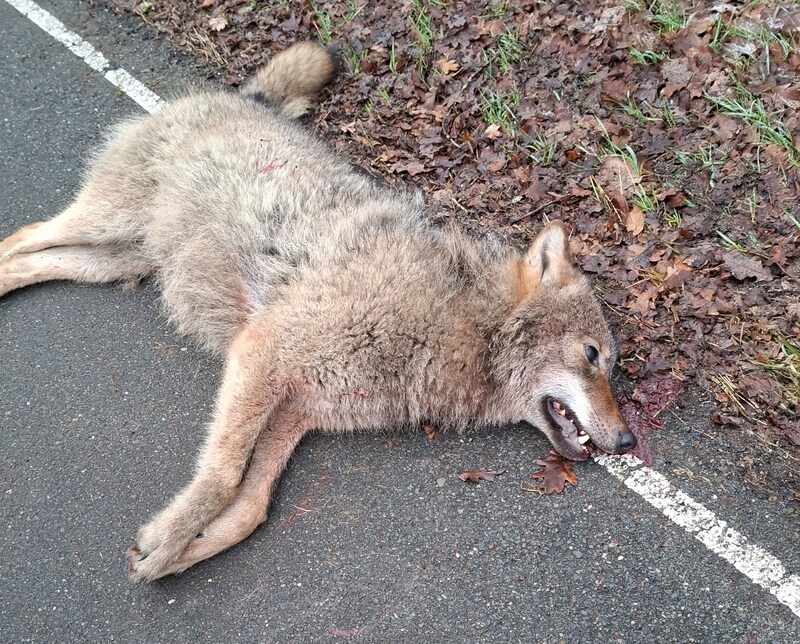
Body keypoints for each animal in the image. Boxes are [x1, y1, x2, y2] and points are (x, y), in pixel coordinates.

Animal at [0, 42, 635, 582]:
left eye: (611, 366)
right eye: (592, 356)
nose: (629, 441)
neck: (455, 323)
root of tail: (242, 95)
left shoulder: (295, 412)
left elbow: (250, 507)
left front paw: (182, 551)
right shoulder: (262, 355)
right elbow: (221, 478)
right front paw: (167, 541)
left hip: (114, 260)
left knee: (32, 260)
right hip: (106, 223)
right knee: (22, 236)